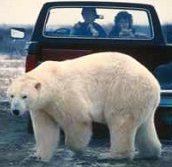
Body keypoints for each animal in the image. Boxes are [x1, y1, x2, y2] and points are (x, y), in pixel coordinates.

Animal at [7, 51, 161, 160]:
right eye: (12, 95)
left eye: (24, 96)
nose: (15, 110)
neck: (52, 81)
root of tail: (155, 84)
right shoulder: (42, 107)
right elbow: (45, 129)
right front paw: (39, 155)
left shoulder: (65, 94)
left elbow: (77, 120)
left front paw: (78, 149)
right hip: (141, 101)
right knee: (145, 128)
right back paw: (150, 153)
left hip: (124, 92)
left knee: (120, 123)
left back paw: (110, 156)